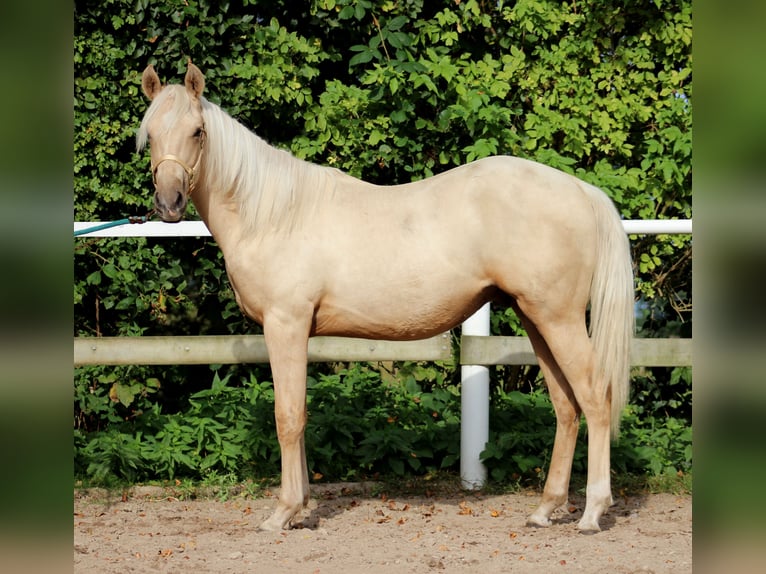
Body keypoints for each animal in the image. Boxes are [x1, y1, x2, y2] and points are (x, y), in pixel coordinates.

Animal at [138, 63, 636, 536]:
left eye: (197, 132)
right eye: (151, 134)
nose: (169, 203)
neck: (273, 213)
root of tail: (582, 191)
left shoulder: (285, 325)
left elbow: (288, 417)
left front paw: (283, 513)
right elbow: (301, 415)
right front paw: (301, 510)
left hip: (559, 320)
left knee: (594, 397)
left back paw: (592, 512)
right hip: (536, 320)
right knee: (566, 407)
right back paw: (545, 510)